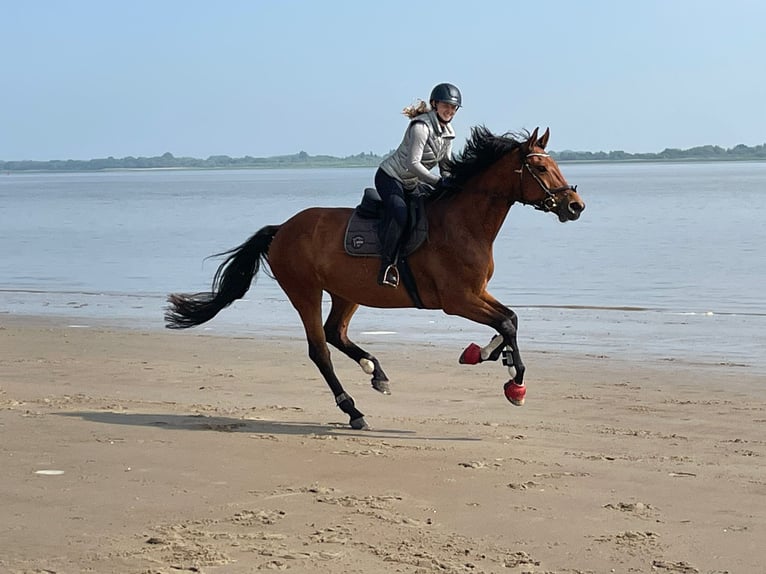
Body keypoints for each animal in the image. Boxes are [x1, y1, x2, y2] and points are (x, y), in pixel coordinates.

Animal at [165, 126, 585, 430]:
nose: (575, 206)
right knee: (319, 350)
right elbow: (507, 323)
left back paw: (375, 371)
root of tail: (282, 228)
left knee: (336, 333)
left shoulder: (477, 292)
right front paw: (515, 383)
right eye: (541, 168)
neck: (464, 222)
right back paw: (353, 411)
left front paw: (487, 354)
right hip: (304, 291)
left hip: (346, 291)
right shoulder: (457, 300)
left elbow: (510, 319)